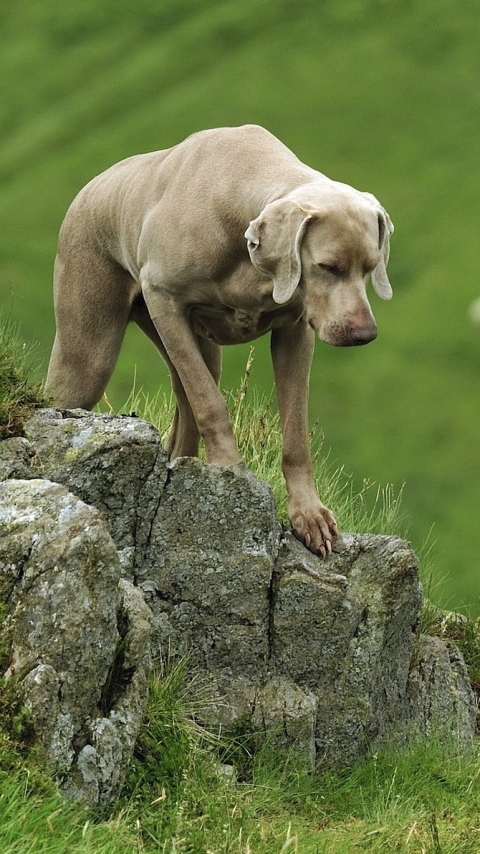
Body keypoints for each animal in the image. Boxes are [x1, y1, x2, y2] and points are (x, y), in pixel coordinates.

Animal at [47, 123, 394, 560]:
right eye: (328, 267)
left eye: (370, 267)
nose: (366, 335)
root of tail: (88, 189)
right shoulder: (163, 299)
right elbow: (210, 402)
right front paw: (229, 473)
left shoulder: (295, 329)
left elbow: (295, 431)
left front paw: (308, 514)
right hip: (91, 350)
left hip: (194, 346)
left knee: (184, 415)